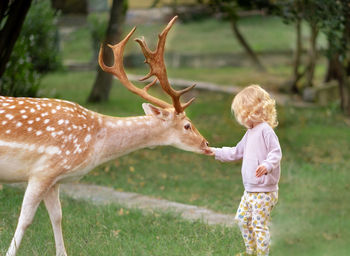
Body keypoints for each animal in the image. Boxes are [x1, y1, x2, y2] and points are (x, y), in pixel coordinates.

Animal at [0, 16, 211, 256]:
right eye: (187, 125)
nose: (206, 143)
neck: (95, 144)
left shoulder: (55, 179)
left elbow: (57, 216)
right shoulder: (43, 170)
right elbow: (25, 219)